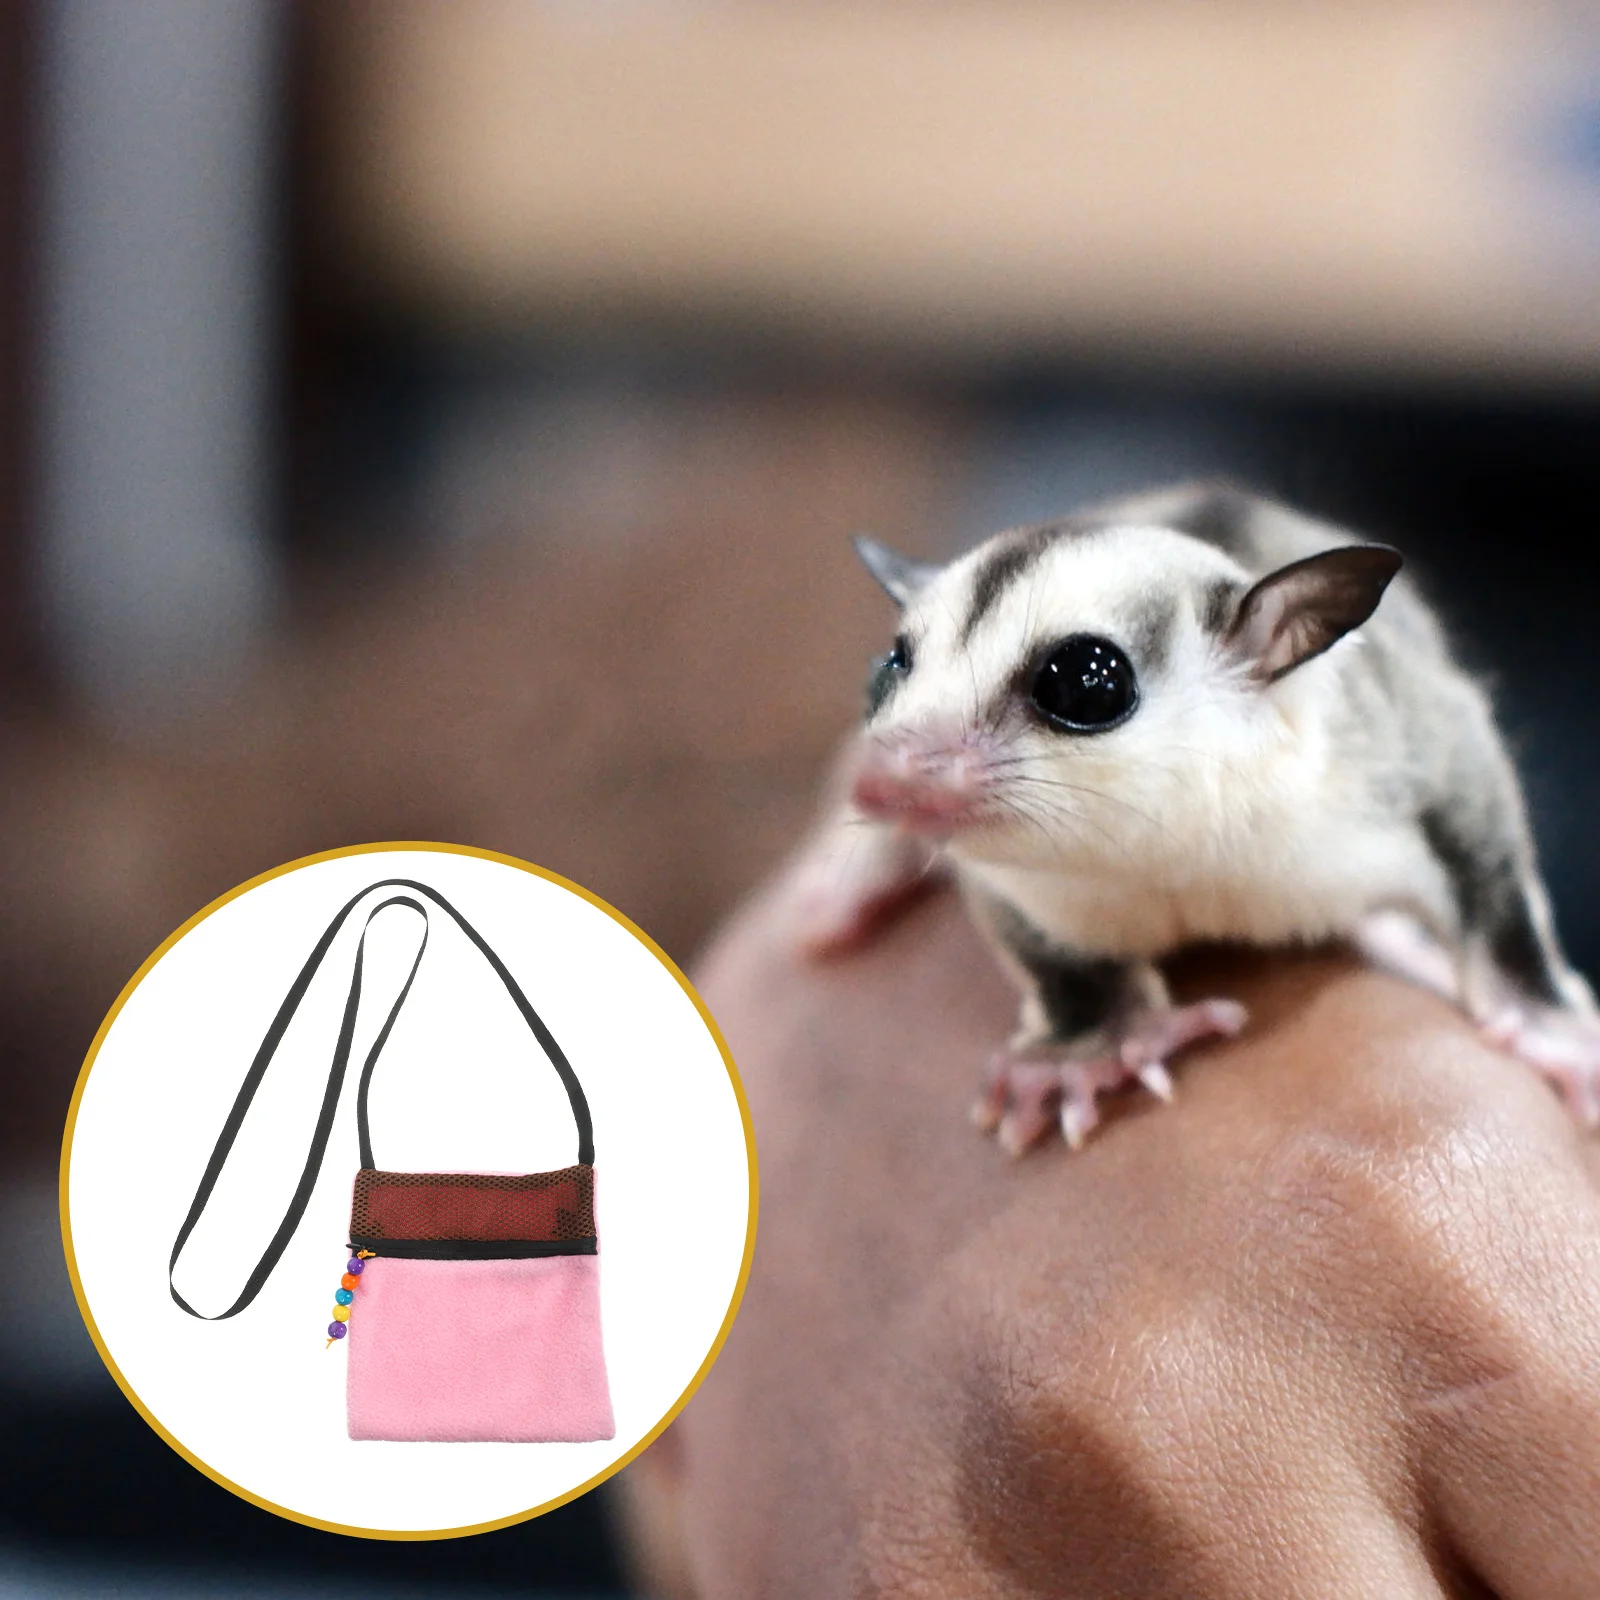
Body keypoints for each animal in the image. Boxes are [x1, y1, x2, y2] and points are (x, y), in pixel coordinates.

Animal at [800, 481, 1600, 1154]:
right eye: (890, 666)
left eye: (1087, 682)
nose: (879, 783)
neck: (1177, 847)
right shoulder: (1021, 880)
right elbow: (1045, 949)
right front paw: (1088, 1048)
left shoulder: (1394, 754)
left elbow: (1483, 847)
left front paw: (1552, 1028)